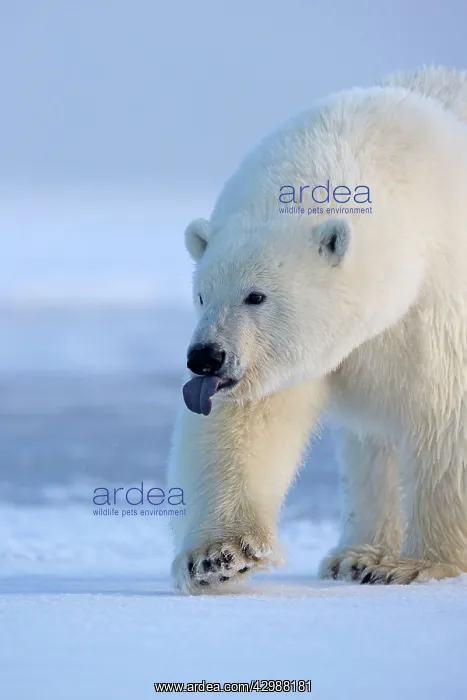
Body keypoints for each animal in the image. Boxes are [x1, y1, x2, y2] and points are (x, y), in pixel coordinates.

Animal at [168, 67, 467, 594]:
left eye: (256, 295)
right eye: (201, 294)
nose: (205, 357)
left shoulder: (437, 310)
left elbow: (443, 420)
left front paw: (421, 565)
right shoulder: (286, 358)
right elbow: (251, 416)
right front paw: (218, 557)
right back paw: (356, 555)